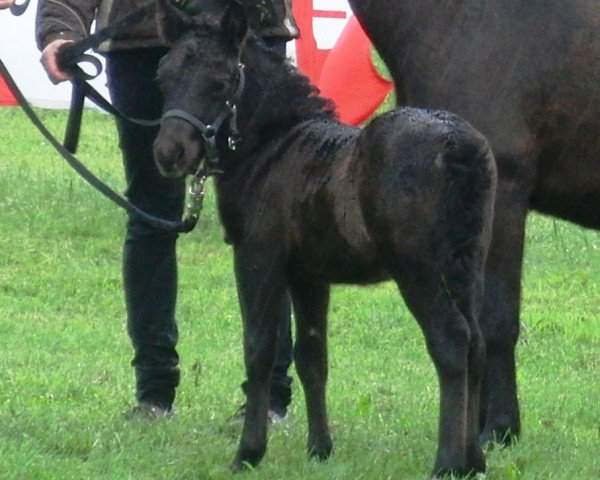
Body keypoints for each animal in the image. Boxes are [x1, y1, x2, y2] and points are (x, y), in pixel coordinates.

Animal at [151, 0, 496, 474]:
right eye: (163, 76)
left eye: (221, 81)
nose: (170, 154)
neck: (275, 146)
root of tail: (459, 146)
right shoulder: (309, 275)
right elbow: (313, 355)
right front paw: (319, 449)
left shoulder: (257, 257)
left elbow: (259, 349)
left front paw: (248, 453)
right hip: (469, 264)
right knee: (477, 344)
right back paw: (474, 460)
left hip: (418, 270)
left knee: (451, 341)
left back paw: (446, 462)